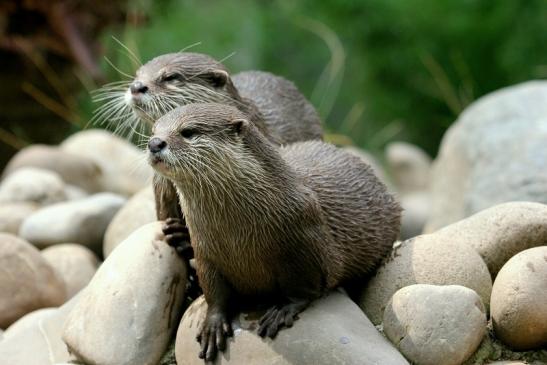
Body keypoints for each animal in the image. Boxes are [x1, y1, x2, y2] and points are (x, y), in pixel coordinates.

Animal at [148, 103, 400, 362]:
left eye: (188, 132)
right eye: (154, 129)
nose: (155, 143)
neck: (236, 235)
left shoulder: (306, 244)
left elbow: (307, 285)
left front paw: (283, 309)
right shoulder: (206, 252)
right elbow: (213, 292)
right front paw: (213, 324)